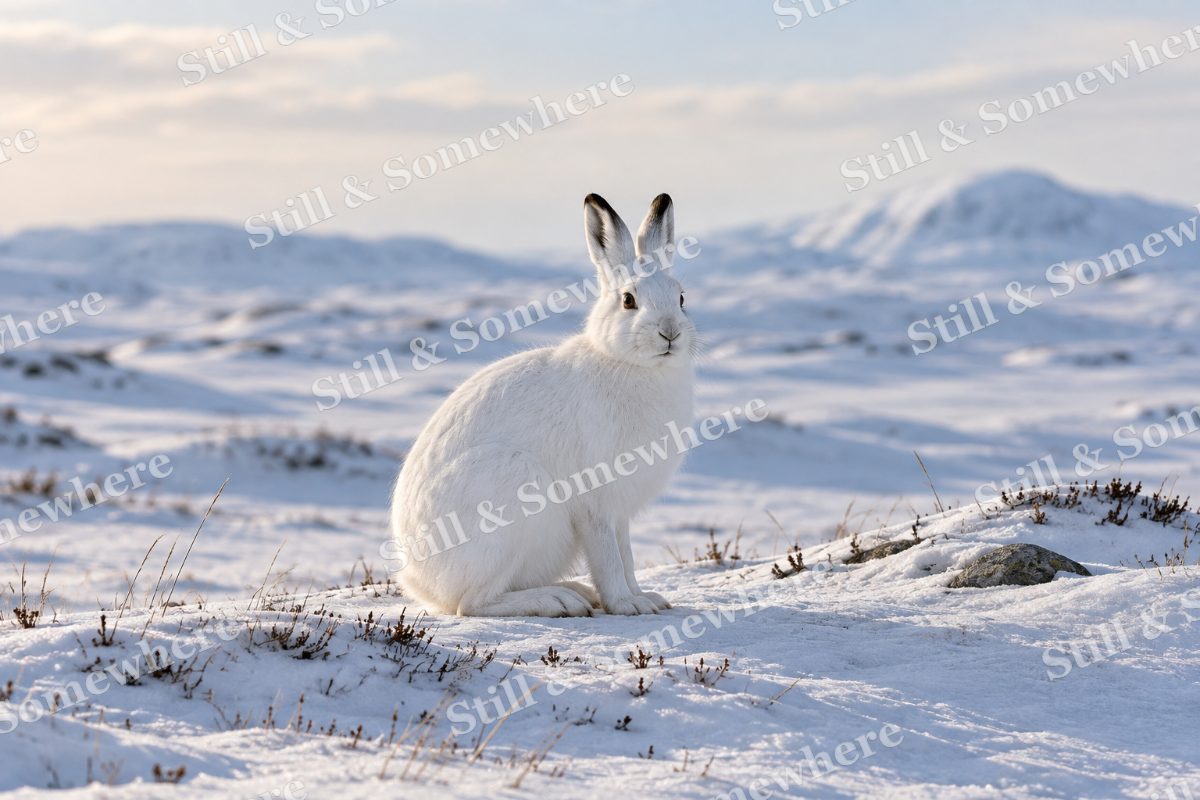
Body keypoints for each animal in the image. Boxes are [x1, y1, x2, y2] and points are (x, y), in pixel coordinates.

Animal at [388, 193, 695, 617]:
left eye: (681, 298)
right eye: (628, 301)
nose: (670, 333)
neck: (627, 364)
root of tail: (420, 583)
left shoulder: (620, 513)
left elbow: (627, 557)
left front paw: (644, 598)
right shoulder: (596, 504)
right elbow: (609, 558)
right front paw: (625, 605)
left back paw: (575, 592)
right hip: (509, 495)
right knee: (472, 604)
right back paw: (557, 600)